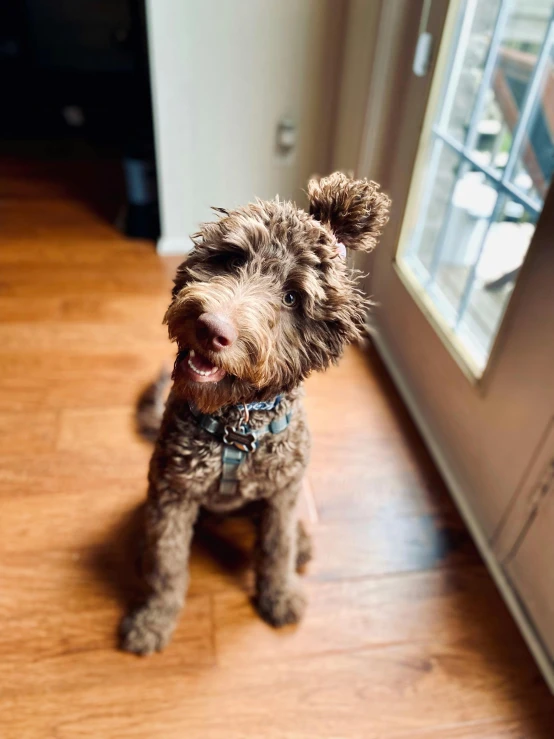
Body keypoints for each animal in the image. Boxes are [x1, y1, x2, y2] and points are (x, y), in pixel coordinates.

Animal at [121, 172, 388, 652]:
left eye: (291, 297)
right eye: (231, 258)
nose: (212, 329)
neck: (238, 420)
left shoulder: (281, 494)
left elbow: (277, 549)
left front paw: (279, 596)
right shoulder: (172, 494)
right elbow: (167, 565)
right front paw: (154, 619)